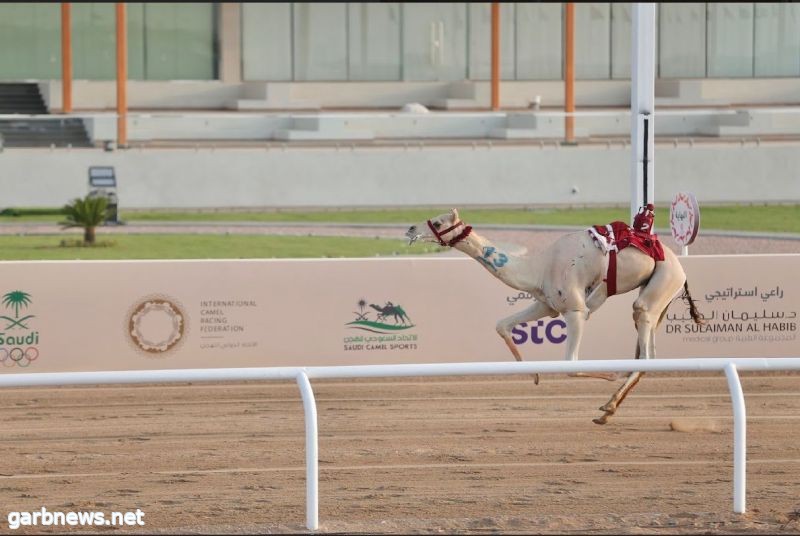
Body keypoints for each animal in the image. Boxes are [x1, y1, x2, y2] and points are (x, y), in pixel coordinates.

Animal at [406, 207, 700, 426]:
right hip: (657, 295)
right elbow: (502, 325)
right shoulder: (547, 305)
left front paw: (610, 374)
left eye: (437, 221)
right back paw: (608, 408)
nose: (410, 229)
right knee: (647, 351)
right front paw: (535, 376)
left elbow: (570, 365)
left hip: (663, 281)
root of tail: (681, 267)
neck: (538, 268)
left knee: (645, 344)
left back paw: (609, 405)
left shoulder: (575, 310)